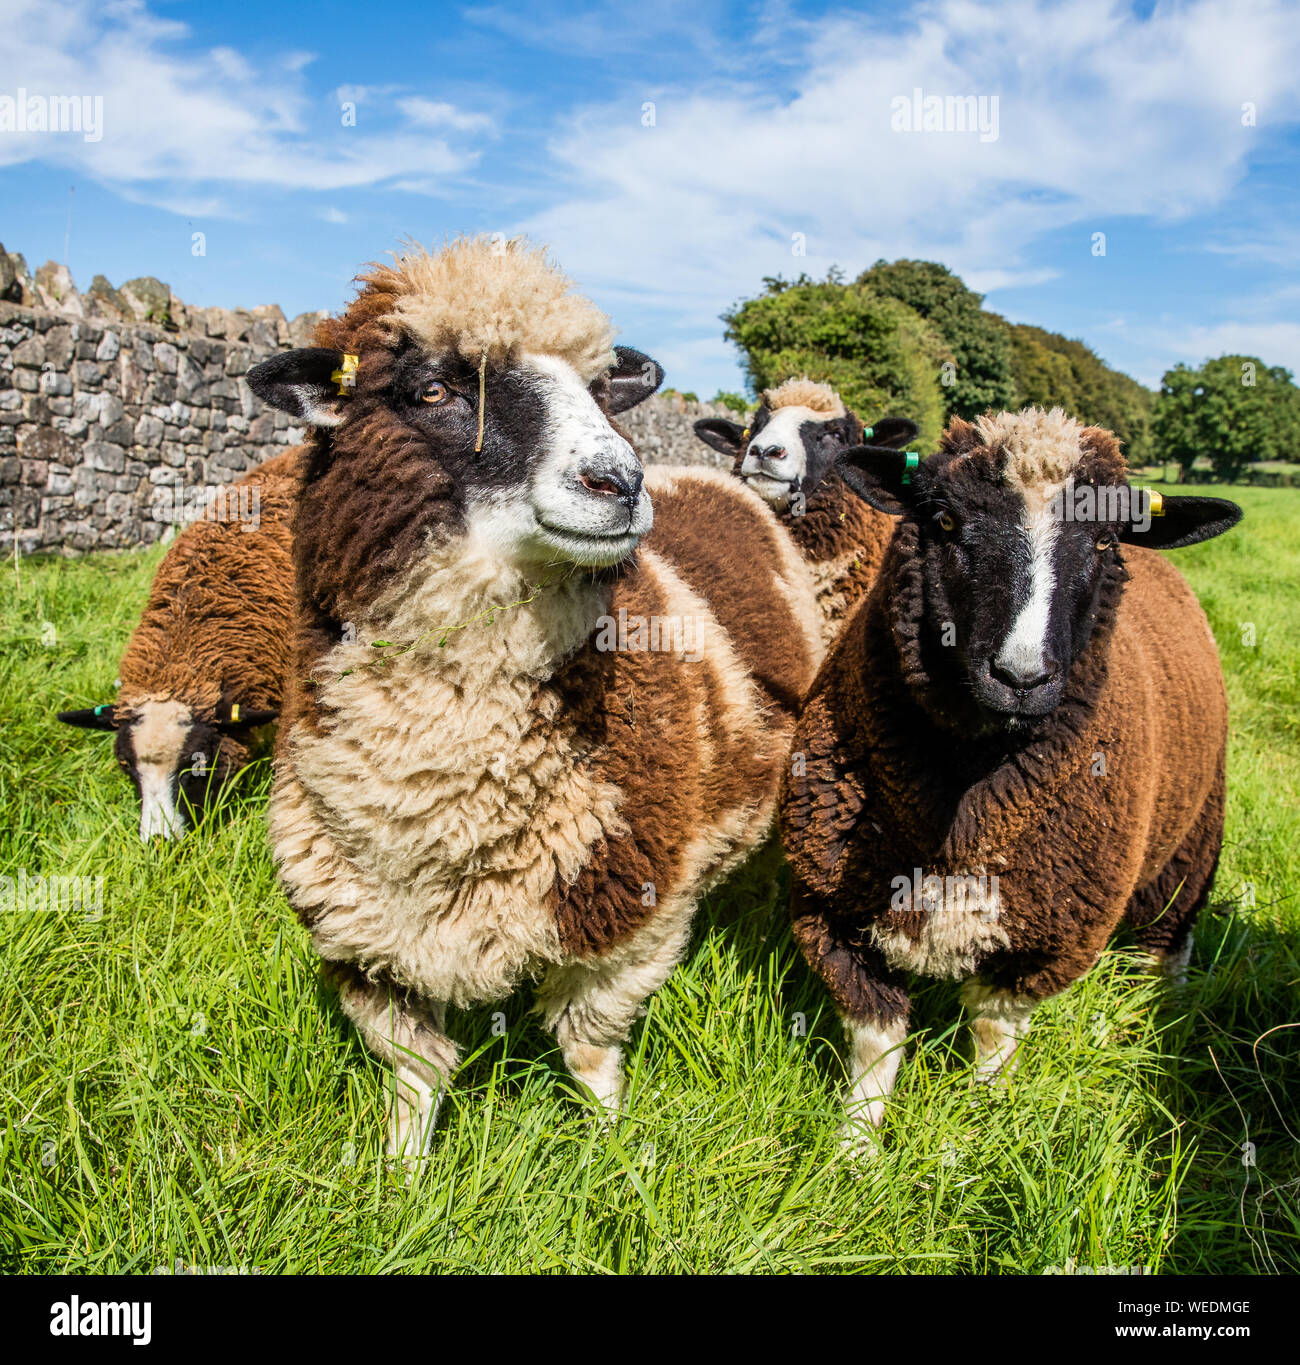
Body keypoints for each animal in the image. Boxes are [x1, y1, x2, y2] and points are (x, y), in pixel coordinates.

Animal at [246, 236, 825, 1158]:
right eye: (433, 388)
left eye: (598, 389)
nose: (618, 481)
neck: (443, 795)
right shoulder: (363, 928)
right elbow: (412, 1074)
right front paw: (397, 1178)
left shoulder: (630, 912)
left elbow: (588, 1052)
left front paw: (616, 1156)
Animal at [778, 407, 1242, 1153]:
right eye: (942, 521)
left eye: (1106, 538)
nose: (1021, 676)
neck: (964, 807)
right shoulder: (830, 910)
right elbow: (875, 1040)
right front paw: (855, 1149)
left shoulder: (1050, 940)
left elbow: (994, 1034)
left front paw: (978, 1128)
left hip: (1192, 841)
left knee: (1166, 943)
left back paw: (1159, 1016)